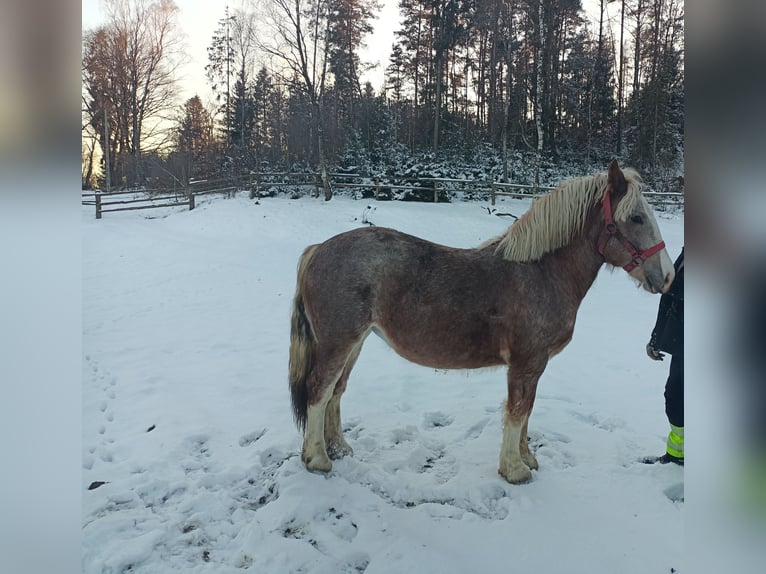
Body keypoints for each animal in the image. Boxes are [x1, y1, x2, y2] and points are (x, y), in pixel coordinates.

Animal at [290, 162, 680, 486]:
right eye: (636, 218)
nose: (668, 276)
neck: (542, 273)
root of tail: (317, 249)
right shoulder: (526, 363)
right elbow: (517, 412)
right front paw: (515, 470)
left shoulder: (533, 366)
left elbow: (527, 411)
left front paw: (527, 458)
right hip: (338, 343)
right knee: (319, 389)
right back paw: (318, 459)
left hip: (355, 343)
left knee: (336, 391)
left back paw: (339, 448)